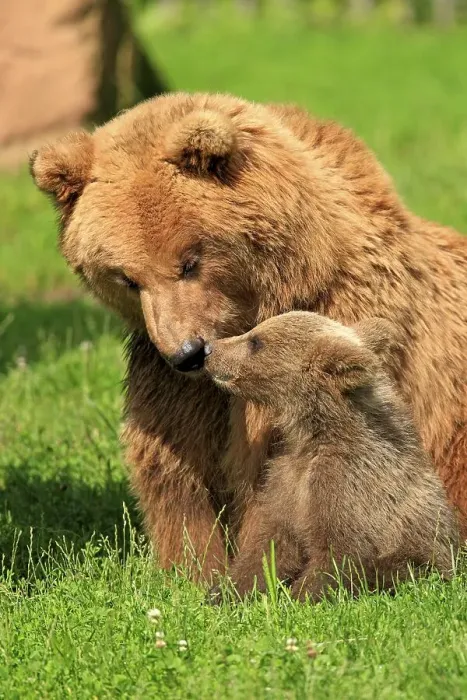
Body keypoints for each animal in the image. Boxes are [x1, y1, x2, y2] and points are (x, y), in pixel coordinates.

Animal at [203, 311, 459, 601]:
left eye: (256, 341)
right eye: (253, 333)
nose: (209, 349)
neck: (313, 434)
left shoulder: (349, 482)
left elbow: (339, 555)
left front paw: (299, 596)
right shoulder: (286, 479)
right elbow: (270, 543)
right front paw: (222, 592)